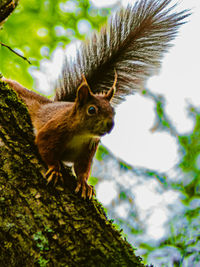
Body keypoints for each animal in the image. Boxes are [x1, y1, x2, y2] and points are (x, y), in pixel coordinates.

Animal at [1, 0, 190, 199]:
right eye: (91, 110)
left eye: (114, 111)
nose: (110, 125)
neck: (82, 133)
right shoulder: (53, 130)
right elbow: (44, 147)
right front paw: (54, 169)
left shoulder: (89, 149)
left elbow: (83, 169)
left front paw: (84, 185)